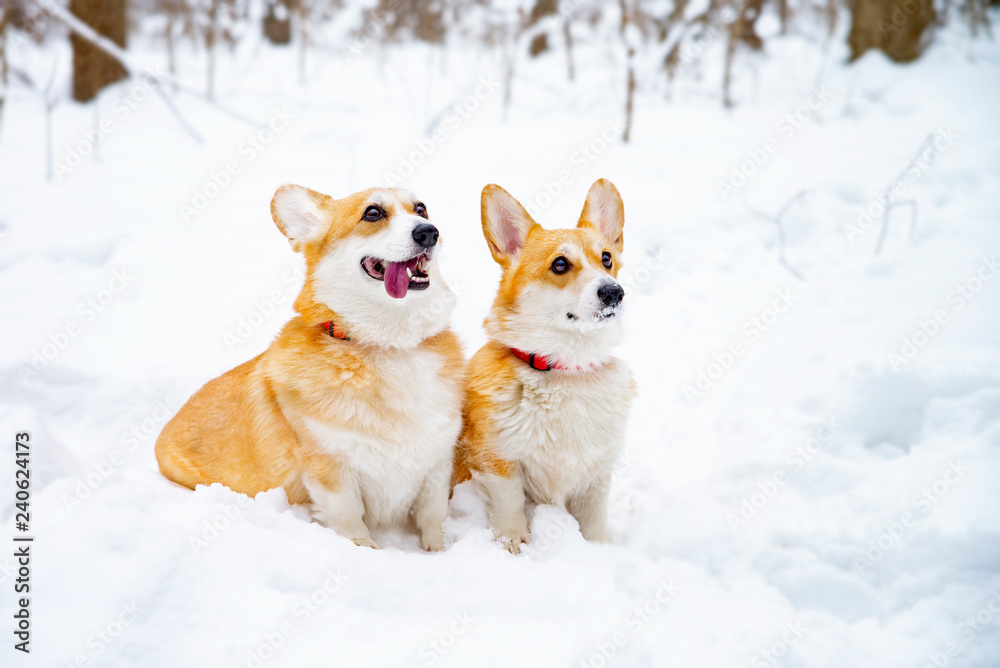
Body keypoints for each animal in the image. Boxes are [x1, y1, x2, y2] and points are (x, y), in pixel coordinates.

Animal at [155, 185, 464, 552]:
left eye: (421, 209)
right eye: (373, 213)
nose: (429, 232)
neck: (389, 345)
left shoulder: (437, 462)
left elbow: (433, 516)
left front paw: (439, 551)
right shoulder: (330, 469)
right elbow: (349, 517)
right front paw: (367, 551)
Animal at [452, 179, 632, 552]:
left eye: (606, 258)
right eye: (560, 264)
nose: (614, 292)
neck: (566, 369)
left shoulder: (596, 475)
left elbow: (593, 524)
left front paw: (597, 551)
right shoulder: (497, 460)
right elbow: (509, 505)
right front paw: (512, 545)